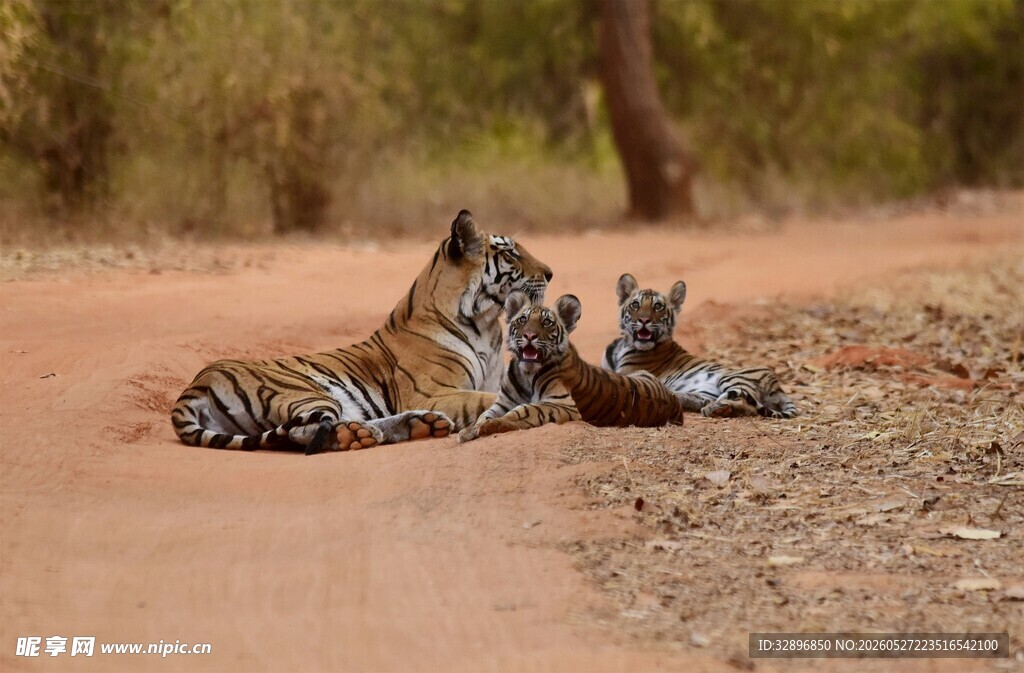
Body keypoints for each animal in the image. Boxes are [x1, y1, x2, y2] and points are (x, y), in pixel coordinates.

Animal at [171, 210, 553, 454]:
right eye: (510, 253)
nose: (550, 273)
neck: (486, 323)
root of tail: (195, 384)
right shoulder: (434, 392)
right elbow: (486, 400)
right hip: (304, 392)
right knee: (301, 432)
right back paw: (361, 435)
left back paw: (420, 426)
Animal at [458, 291, 684, 442]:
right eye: (522, 319)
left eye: (547, 323)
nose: (529, 335)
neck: (526, 373)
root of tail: (673, 400)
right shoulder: (502, 403)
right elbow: (484, 414)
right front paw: (470, 430)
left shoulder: (563, 404)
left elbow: (525, 410)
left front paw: (491, 426)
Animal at [602, 273, 798, 418]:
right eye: (635, 304)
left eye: (657, 306)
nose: (644, 320)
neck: (623, 345)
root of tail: (777, 385)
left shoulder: (627, 373)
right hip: (706, 391)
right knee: (703, 400)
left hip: (731, 378)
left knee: (744, 403)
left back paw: (715, 408)